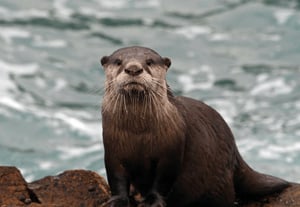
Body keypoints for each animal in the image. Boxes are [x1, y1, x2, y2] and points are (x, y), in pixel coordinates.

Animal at [99, 46, 290, 206]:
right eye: (118, 61)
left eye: (149, 61)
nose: (133, 69)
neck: (138, 133)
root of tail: (235, 153)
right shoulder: (112, 150)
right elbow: (116, 178)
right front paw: (118, 200)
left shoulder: (171, 152)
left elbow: (163, 179)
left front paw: (152, 200)